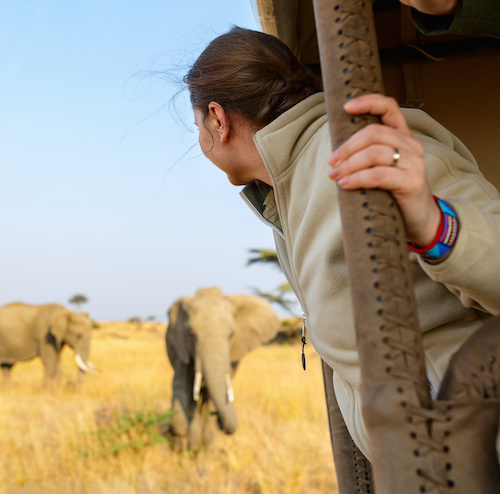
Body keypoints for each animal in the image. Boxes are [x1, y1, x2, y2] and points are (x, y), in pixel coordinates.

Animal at [167, 286, 282, 452]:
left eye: (232, 335)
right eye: (191, 335)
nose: (220, 422)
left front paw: (201, 446)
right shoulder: (181, 347)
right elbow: (183, 384)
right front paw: (182, 435)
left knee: (205, 397)